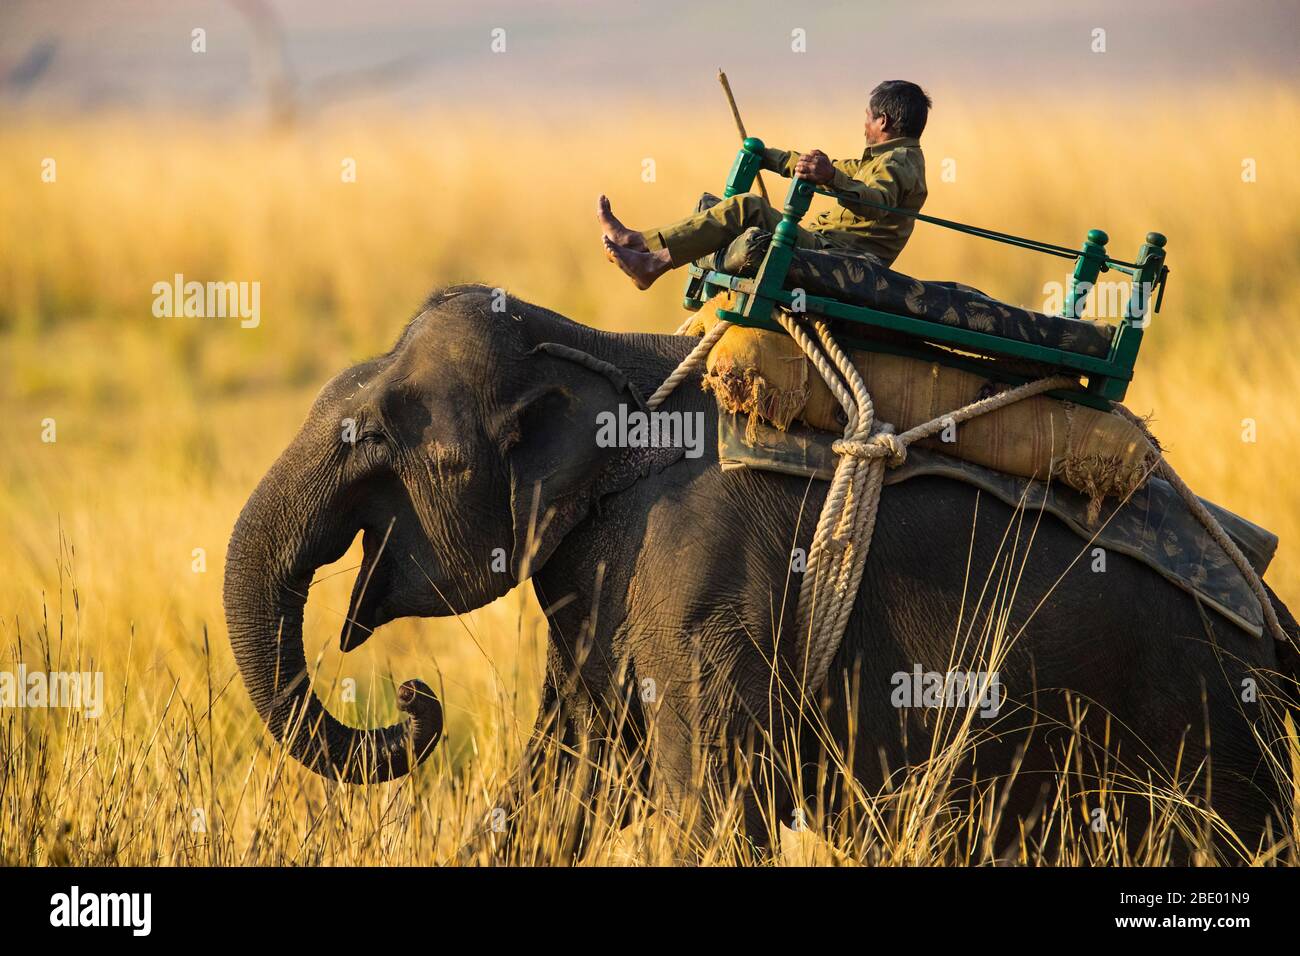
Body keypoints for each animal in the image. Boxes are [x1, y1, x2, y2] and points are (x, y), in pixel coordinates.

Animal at [223, 282, 1300, 858]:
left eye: (410, 453)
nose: (414, 697)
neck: (597, 352)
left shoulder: (699, 573)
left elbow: (707, 812)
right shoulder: (605, 575)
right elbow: (565, 780)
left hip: (1205, 732)